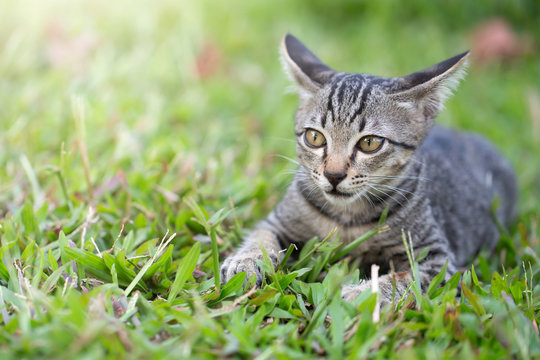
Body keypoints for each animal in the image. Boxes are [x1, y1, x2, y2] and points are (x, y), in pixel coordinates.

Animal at [220, 34, 520, 304]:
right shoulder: (278, 221)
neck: (346, 218)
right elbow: (260, 236)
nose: (333, 175)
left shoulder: (439, 261)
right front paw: (246, 261)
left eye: (370, 143)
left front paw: (364, 293)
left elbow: (409, 279)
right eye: (314, 138)